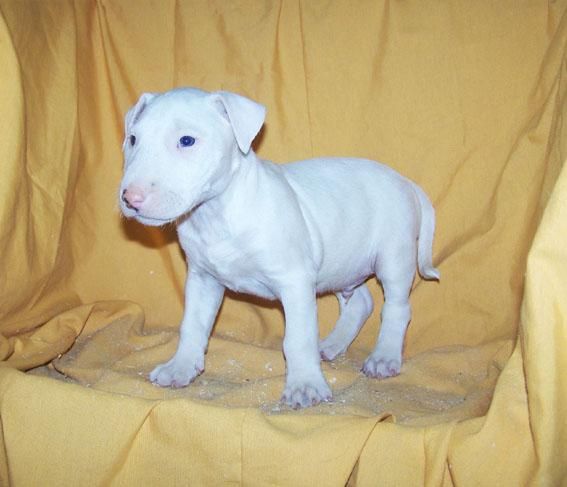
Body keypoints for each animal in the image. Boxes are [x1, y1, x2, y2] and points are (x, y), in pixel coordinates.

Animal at [118, 86, 440, 408]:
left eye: (187, 140)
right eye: (133, 139)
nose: (130, 198)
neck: (216, 213)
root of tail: (405, 181)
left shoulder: (295, 280)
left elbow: (298, 338)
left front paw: (305, 386)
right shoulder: (203, 278)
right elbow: (193, 324)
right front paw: (179, 368)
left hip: (393, 256)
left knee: (397, 307)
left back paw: (383, 357)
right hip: (342, 262)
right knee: (361, 301)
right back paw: (332, 344)